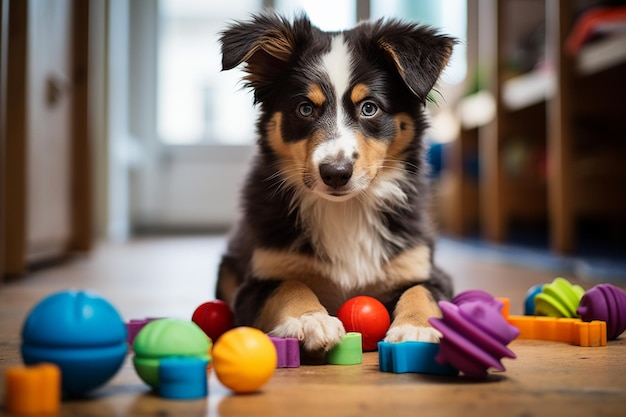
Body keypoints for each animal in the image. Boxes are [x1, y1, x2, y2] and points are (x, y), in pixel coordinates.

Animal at [214, 11, 454, 352]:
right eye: (304, 109)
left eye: (369, 108)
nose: (336, 173)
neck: (345, 209)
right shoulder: (257, 280)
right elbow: (289, 285)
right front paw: (309, 319)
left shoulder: (425, 267)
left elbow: (420, 291)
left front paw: (415, 328)